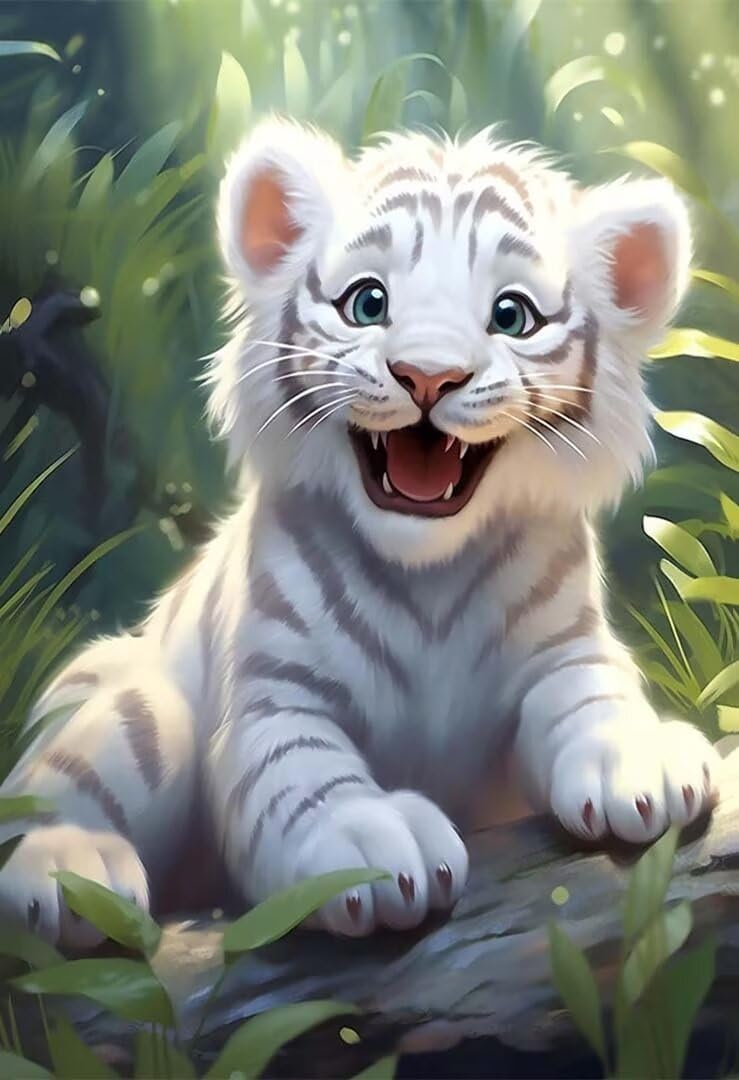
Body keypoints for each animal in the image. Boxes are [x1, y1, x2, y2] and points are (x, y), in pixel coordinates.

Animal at [0, 118, 719, 946]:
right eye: (367, 303)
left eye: (510, 316)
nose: (427, 376)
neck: (428, 572)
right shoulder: (276, 696)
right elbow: (305, 774)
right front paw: (371, 842)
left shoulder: (562, 648)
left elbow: (591, 698)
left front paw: (641, 758)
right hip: (137, 709)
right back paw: (70, 874)